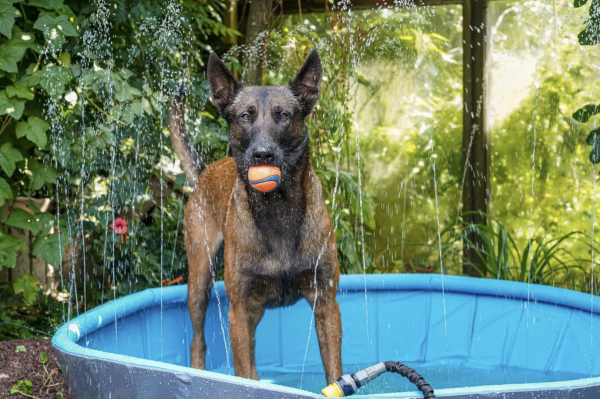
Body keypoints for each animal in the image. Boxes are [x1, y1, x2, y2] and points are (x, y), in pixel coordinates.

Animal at [169, 49, 344, 384]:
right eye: (245, 117)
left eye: (283, 115)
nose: (263, 155)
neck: (278, 210)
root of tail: (205, 171)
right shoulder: (240, 311)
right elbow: (244, 377)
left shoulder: (326, 303)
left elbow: (335, 374)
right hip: (200, 279)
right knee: (198, 340)